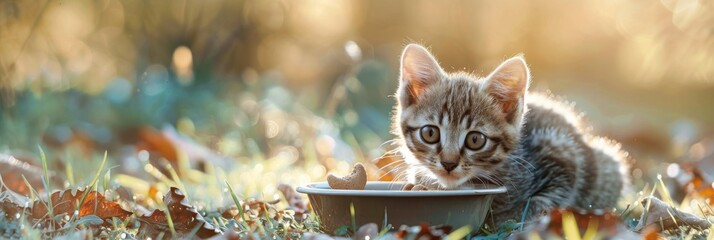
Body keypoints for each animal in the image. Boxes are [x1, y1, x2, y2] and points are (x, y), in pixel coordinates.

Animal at [390, 44, 628, 224]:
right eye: (430, 133)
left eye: (475, 139)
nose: (448, 164)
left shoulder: (561, 151)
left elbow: (548, 199)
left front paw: (510, 216)